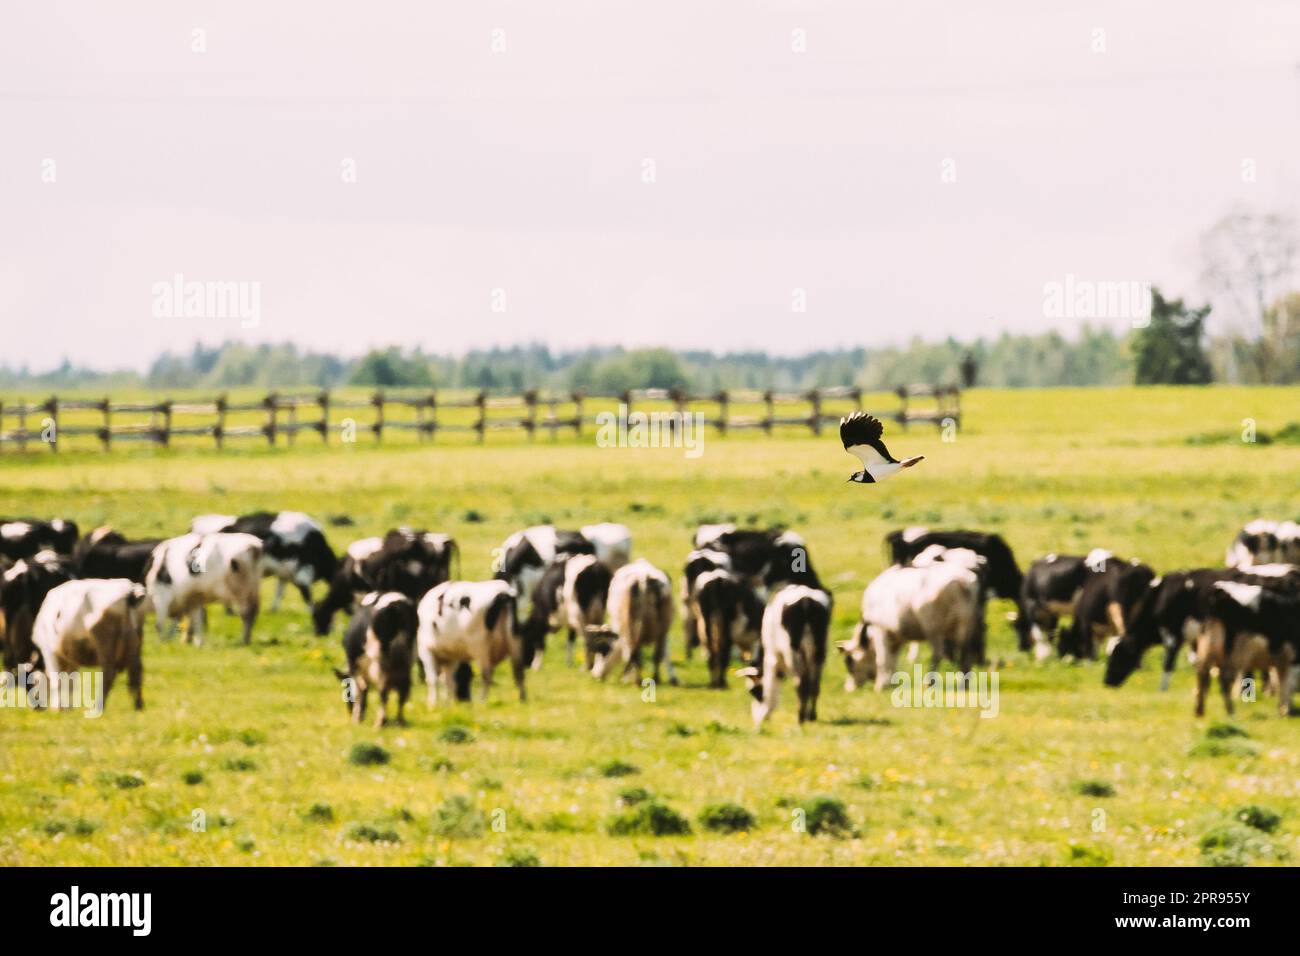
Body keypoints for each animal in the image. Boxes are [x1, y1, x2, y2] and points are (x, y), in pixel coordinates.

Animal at [31, 574, 148, 712]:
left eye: (33, 682)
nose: (35, 706)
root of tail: (129, 589)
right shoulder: (72, 658)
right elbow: (70, 683)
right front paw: (68, 708)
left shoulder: (49, 651)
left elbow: (57, 681)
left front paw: (57, 709)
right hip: (135, 644)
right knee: (136, 672)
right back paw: (138, 707)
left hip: (104, 642)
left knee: (108, 673)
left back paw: (97, 708)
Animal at [335, 595, 416, 728]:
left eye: (346, 690)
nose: (349, 712)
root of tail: (395, 604)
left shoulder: (356, 669)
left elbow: (360, 691)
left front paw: (356, 719)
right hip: (408, 658)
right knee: (403, 690)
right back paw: (400, 721)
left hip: (379, 663)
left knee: (383, 691)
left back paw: (380, 721)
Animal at [743, 582, 832, 723]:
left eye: (753, 691)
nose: (758, 719)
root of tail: (806, 600)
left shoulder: (772, 657)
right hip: (819, 650)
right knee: (814, 685)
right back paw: (811, 716)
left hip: (793, 652)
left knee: (801, 684)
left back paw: (800, 717)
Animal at [837, 561, 977, 686]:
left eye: (850, 662)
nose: (849, 688)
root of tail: (961, 580)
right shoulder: (896, 637)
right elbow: (892, 659)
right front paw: (890, 682)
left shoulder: (880, 630)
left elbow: (882, 659)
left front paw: (880, 686)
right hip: (965, 626)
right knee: (965, 653)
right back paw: (964, 684)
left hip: (934, 628)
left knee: (938, 653)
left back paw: (929, 682)